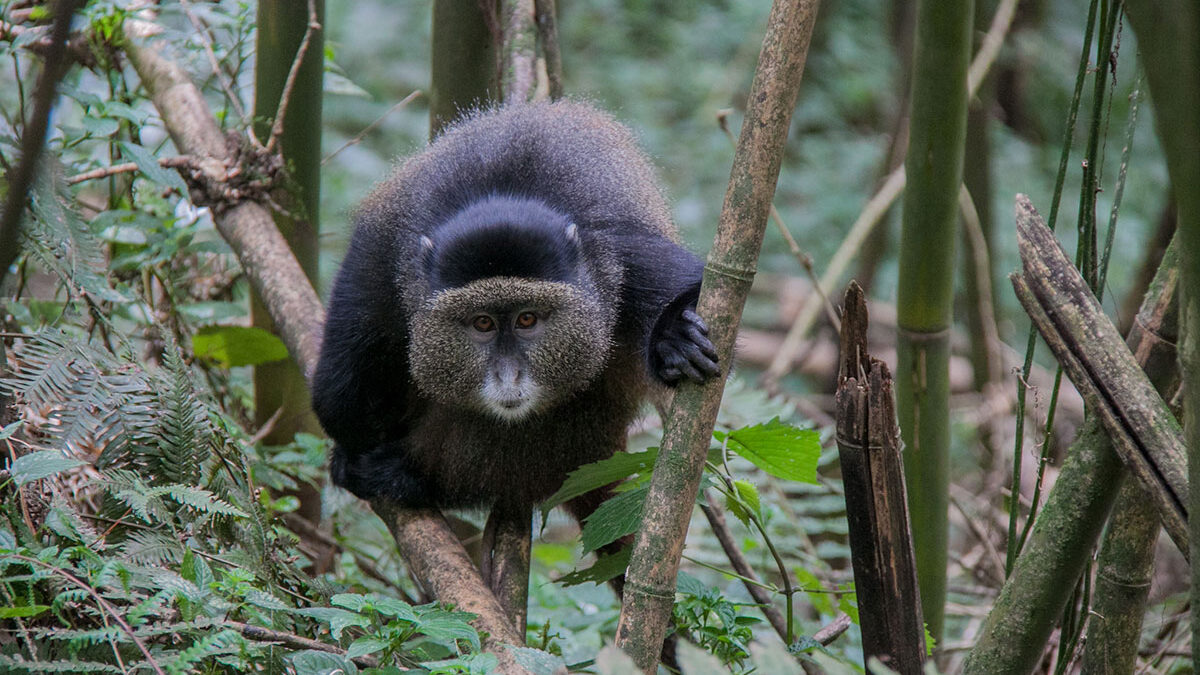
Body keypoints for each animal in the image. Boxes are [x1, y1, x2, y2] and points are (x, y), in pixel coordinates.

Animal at [311, 101, 720, 512]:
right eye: (482, 323)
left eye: (527, 319)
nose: (508, 376)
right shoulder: (384, 257)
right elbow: (337, 395)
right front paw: (351, 457)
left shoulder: (624, 252)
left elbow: (700, 287)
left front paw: (675, 337)